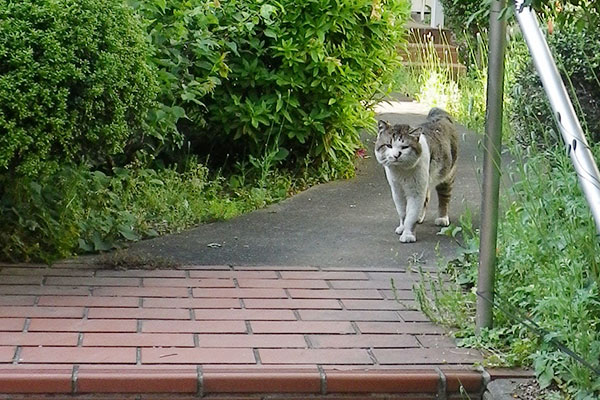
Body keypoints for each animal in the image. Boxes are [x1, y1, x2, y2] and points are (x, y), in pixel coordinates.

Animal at [376, 107, 460, 244]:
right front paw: (402, 227)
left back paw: (442, 218)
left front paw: (408, 235)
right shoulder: (397, 191)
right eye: (388, 145)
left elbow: (411, 215)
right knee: (426, 198)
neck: (401, 172)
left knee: (444, 198)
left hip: (446, 177)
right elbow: (403, 212)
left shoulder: (416, 192)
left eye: (405, 147)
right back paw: (420, 217)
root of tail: (441, 115)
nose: (396, 155)